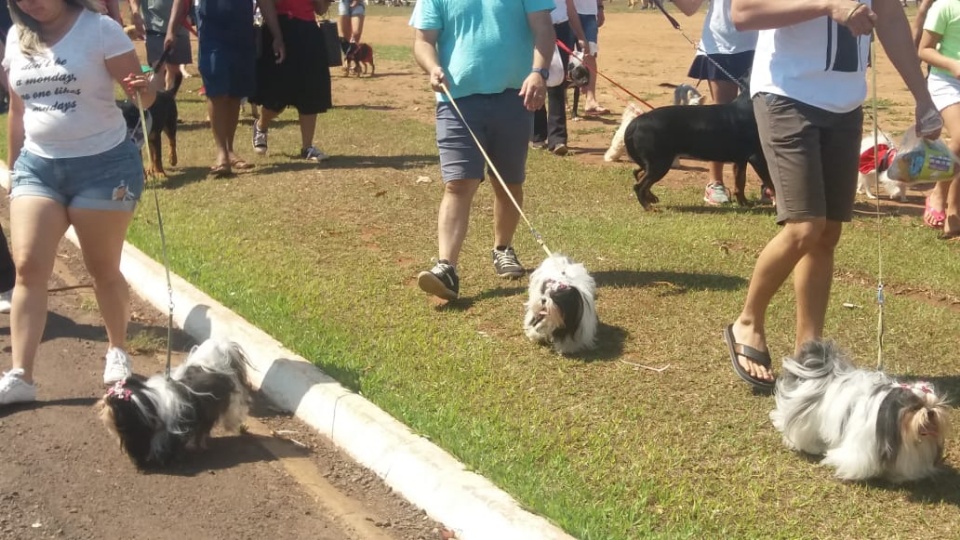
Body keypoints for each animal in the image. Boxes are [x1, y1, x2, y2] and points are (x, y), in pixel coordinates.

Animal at [624, 86, 772, 209]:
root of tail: (635, 123)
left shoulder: (741, 159)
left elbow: (740, 182)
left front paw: (744, 203)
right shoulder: (757, 157)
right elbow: (770, 182)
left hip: (655, 161)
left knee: (638, 173)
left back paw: (651, 198)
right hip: (660, 162)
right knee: (639, 185)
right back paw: (649, 208)